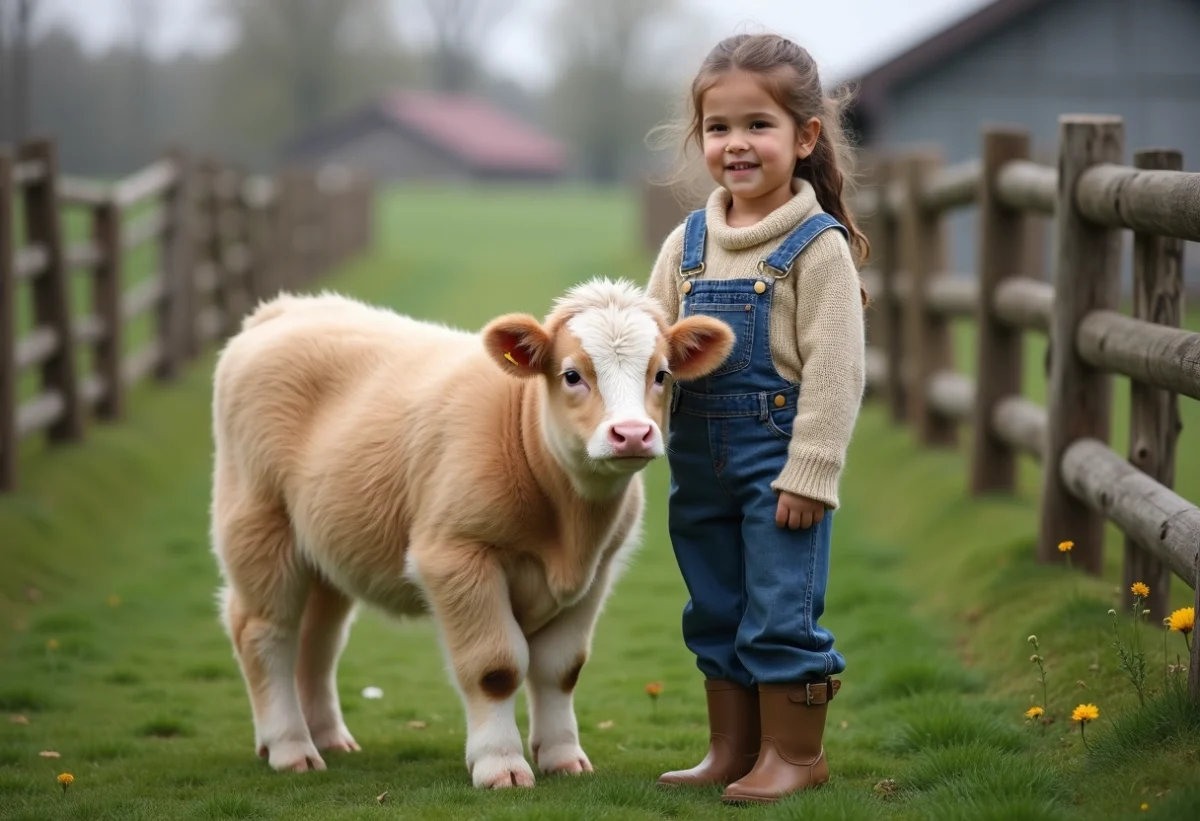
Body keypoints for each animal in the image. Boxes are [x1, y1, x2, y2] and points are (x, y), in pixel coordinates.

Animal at [208, 278, 734, 788]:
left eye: (662, 374)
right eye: (571, 375)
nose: (631, 433)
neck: (567, 528)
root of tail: (287, 308)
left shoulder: (597, 573)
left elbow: (561, 668)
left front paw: (563, 756)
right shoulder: (456, 557)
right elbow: (495, 668)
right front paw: (501, 764)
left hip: (325, 549)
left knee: (318, 639)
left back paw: (328, 738)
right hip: (259, 525)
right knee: (265, 632)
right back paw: (289, 747)